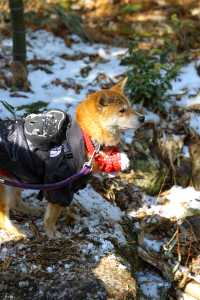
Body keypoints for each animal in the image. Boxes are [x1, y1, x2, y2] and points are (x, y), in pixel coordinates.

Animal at [0, 79, 145, 239]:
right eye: (122, 111)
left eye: (130, 107)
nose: (143, 118)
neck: (87, 137)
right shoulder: (59, 185)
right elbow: (52, 215)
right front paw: (52, 233)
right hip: (5, 186)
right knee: (3, 215)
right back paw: (17, 232)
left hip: (17, 179)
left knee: (15, 202)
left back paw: (31, 211)